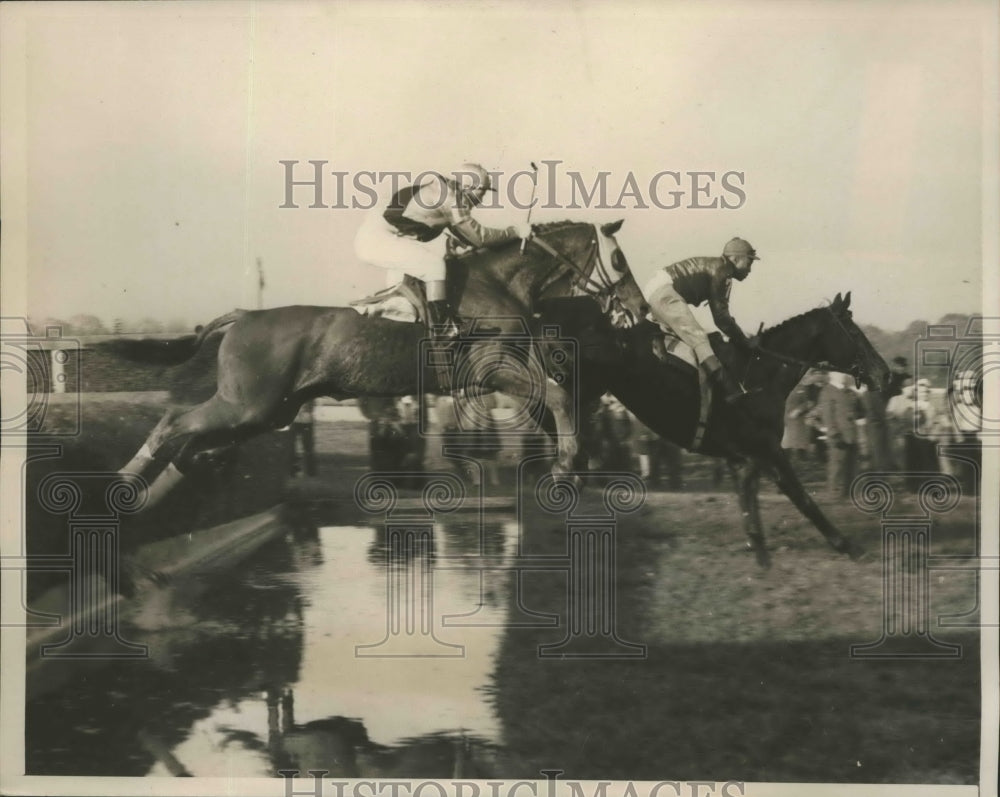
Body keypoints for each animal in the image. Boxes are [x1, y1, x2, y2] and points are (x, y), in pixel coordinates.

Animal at [111, 219, 648, 504]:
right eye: (620, 261)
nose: (639, 310)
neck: (496, 285)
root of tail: (246, 315)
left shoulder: (506, 372)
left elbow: (558, 399)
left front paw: (572, 464)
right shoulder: (494, 370)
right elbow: (557, 396)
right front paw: (565, 466)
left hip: (269, 411)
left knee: (193, 442)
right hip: (247, 403)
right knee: (175, 422)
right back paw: (126, 481)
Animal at [564, 290, 892, 564]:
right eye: (854, 330)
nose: (885, 373)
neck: (761, 376)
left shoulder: (742, 458)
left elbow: (748, 500)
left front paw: (757, 548)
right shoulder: (768, 449)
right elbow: (803, 498)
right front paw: (847, 545)